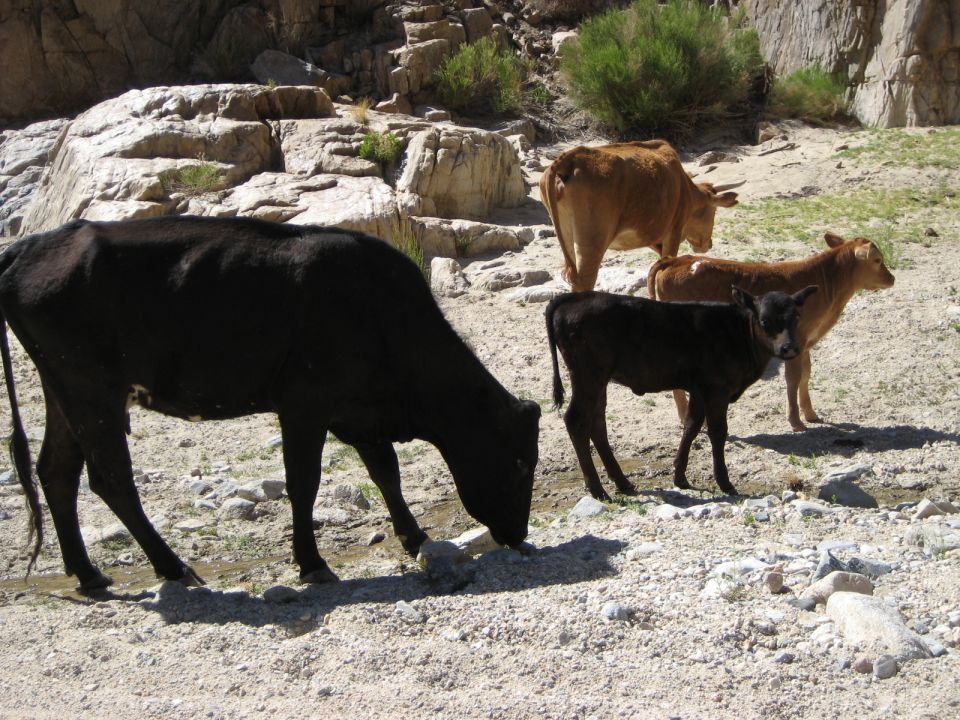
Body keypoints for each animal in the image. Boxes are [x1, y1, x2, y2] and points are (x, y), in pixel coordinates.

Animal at [0, 216, 541, 592]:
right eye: (519, 463)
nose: (517, 534)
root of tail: (31, 245)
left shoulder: (355, 411)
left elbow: (386, 471)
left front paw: (415, 539)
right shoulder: (305, 404)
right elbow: (304, 482)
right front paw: (313, 563)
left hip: (64, 390)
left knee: (56, 471)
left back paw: (88, 573)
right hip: (92, 391)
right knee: (110, 478)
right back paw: (174, 568)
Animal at [538, 139, 739, 292]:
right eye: (713, 211)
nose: (708, 244)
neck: (685, 188)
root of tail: (571, 157)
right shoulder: (673, 232)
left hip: (568, 238)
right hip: (592, 244)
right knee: (585, 282)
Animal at [546, 287, 816, 500]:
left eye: (796, 317)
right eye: (764, 321)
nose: (789, 348)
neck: (738, 333)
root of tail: (574, 297)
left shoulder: (698, 390)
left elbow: (691, 426)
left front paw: (680, 477)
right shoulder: (717, 389)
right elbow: (717, 432)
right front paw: (725, 483)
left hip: (598, 381)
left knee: (597, 423)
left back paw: (623, 482)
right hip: (588, 376)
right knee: (577, 421)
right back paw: (598, 489)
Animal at [647, 232, 896, 431]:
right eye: (877, 260)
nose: (892, 278)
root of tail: (676, 260)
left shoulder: (805, 343)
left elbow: (806, 374)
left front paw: (811, 414)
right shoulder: (794, 343)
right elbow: (793, 378)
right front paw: (796, 422)